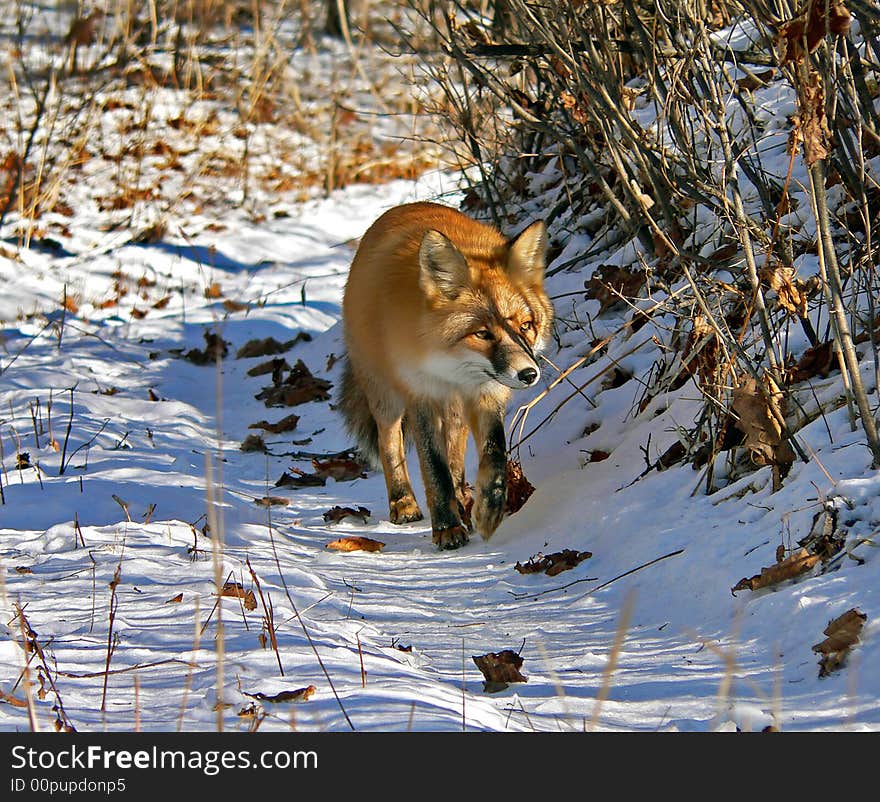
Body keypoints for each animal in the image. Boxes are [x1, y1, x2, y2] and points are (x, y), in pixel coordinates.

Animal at [336, 203, 552, 548]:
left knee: (455, 455)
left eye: (525, 326)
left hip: (454, 412)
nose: (528, 374)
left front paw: (488, 511)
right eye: (482, 334)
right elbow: (433, 467)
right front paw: (447, 527)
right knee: (389, 441)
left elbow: (495, 454)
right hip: (385, 394)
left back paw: (463, 499)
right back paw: (404, 502)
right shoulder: (419, 393)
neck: (451, 364)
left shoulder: (486, 393)